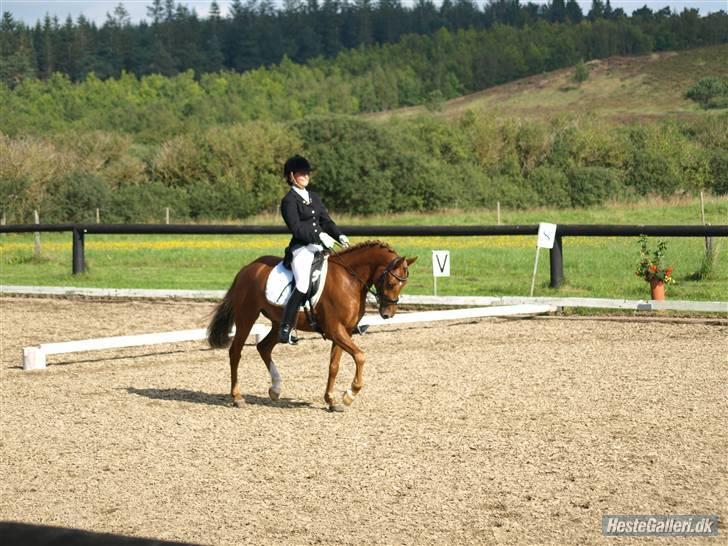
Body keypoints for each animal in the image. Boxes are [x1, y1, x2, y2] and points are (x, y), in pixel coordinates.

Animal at [208, 240, 418, 410]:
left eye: (404, 284)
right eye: (391, 283)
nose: (388, 314)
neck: (349, 280)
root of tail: (248, 268)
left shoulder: (344, 332)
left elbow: (334, 366)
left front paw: (332, 401)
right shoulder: (335, 330)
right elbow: (360, 356)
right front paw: (350, 394)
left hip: (278, 323)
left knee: (264, 347)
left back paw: (275, 389)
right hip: (247, 317)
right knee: (236, 352)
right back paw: (237, 397)